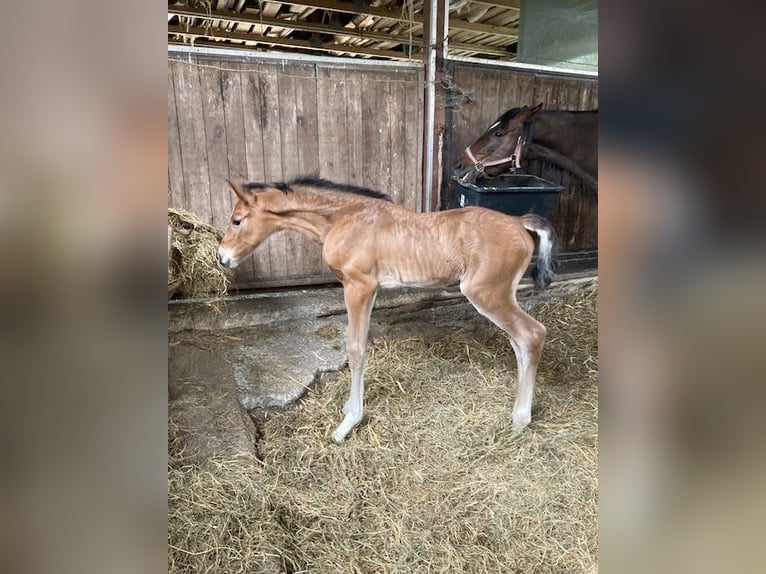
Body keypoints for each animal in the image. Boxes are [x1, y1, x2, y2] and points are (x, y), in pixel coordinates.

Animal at [219, 178, 560, 444]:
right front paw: (349, 410)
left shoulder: (358, 286)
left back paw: (520, 420)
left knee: (532, 335)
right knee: (520, 343)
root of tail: (519, 222)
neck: (344, 219)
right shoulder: (370, 290)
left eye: (237, 220)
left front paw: (348, 423)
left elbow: (355, 349)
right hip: (502, 296)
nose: (222, 257)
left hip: (487, 294)